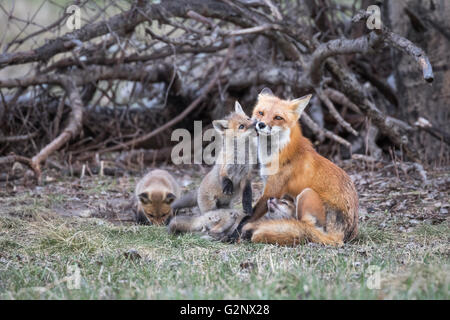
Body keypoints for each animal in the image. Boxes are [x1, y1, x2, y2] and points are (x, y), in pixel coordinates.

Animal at [244, 89, 360, 246]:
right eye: (261, 113)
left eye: (278, 117)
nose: (261, 124)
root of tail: (340, 237)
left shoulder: (272, 190)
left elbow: (251, 216)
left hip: (306, 194)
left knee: (304, 227)